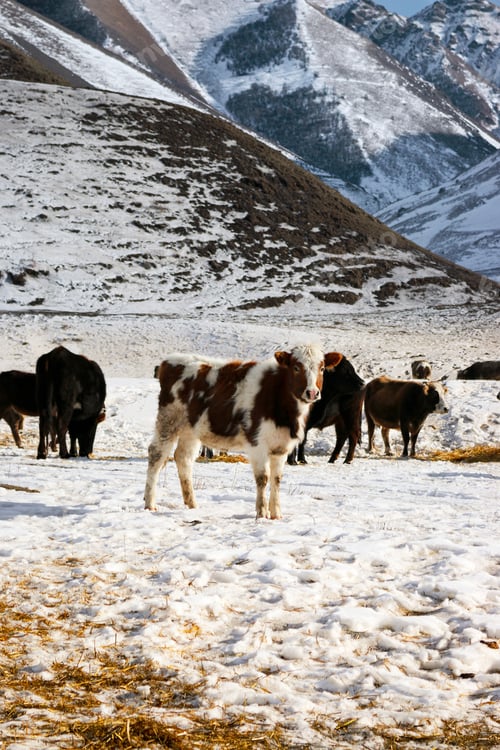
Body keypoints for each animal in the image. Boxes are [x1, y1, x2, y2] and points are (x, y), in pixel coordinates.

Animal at [144, 344, 341, 519]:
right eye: (296, 367)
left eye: (322, 368)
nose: (312, 392)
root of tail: (170, 361)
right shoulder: (257, 443)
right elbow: (263, 478)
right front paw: (261, 513)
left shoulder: (281, 446)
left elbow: (277, 479)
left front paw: (276, 514)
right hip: (168, 421)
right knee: (156, 455)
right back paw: (150, 503)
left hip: (190, 430)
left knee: (183, 458)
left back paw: (192, 504)